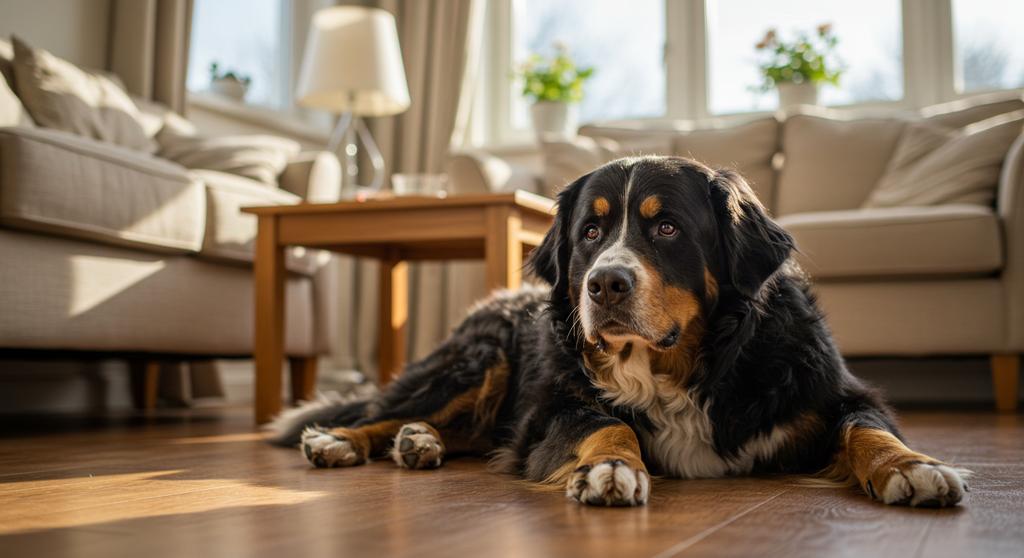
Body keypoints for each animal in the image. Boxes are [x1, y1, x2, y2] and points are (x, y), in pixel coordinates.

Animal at [270, 155, 966, 503]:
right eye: (590, 232)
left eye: (667, 228)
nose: (604, 284)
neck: (680, 368)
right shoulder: (552, 409)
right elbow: (606, 424)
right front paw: (609, 470)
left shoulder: (833, 392)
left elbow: (866, 429)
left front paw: (913, 468)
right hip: (480, 360)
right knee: (388, 408)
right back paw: (346, 439)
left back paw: (420, 442)